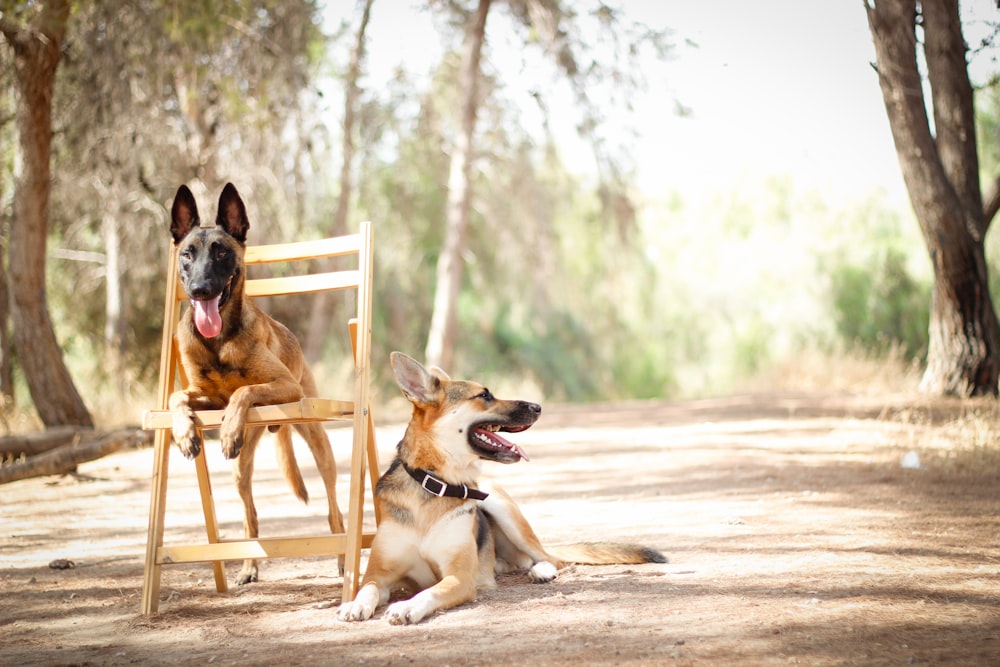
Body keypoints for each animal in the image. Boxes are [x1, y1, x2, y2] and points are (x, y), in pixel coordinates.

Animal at [167, 183, 344, 584]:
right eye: (187, 254)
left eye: (221, 252)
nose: (200, 290)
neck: (217, 342)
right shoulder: (205, 398)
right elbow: (176, 397)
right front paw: (184, 433)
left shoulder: (284, 385)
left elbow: (244, 389)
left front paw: (230, 427)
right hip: (239, 471)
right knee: (251, 516)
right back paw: (249, 566)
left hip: (318, 442)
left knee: (334, 506)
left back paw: (344, 556)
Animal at [340, 354, 668, 628]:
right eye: (484, 395)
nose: (538, 406)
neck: (434, 486)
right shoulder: (379, 574)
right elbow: (367, 588)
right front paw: (354, 604)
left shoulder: (458, 578)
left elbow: (430, 591)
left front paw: (408, 606)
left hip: (501, 506)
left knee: (551, 559)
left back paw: (542, 571)